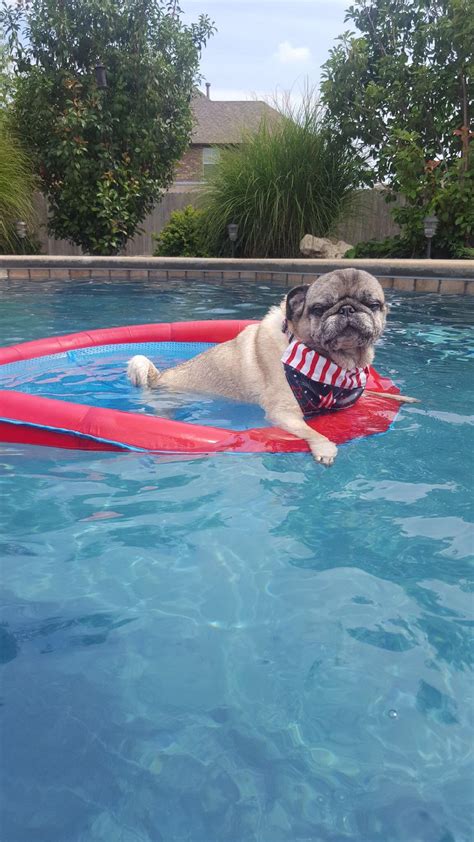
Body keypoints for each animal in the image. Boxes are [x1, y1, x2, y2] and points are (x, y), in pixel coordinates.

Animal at [127, 270, 414, 462]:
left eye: (373, 304)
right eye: (320, 308)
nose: (347, 309)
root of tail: (159, 375)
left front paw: (402, 398)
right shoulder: (285, 414)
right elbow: (311, 431)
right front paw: (324, 448)